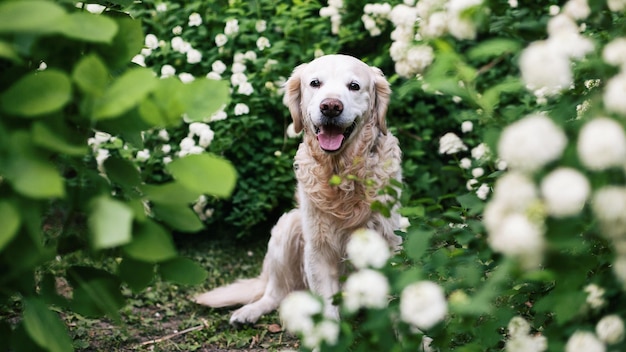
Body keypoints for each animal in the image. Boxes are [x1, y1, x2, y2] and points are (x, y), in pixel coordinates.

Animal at [193, 54, 402, 324]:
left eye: (354, 86)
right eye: (315, 83)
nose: (330, 107)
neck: (340, 174)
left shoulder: (389, 241)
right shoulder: (317, 250)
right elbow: (327, 311)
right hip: (286, 228)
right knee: (275, 293)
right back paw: (248, 312)